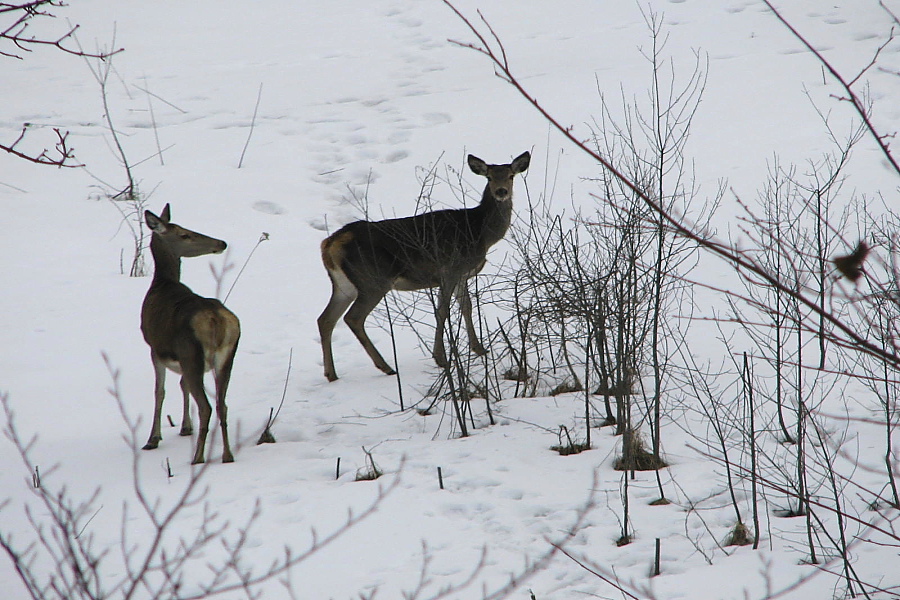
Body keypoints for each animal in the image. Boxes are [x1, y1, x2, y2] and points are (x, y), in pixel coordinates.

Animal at [140, 205, 239, 464]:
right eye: (185, 235)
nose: (221, 243)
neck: (161, 284)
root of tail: (216, 319)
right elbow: (181, 385)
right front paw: (186, 427)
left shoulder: (154, 347)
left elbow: (160, 391)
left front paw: (153, 439)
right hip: (227, 355)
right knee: (222, 403)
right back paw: (227, 455)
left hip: (190, 352)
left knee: (206, 406)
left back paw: (198, 457)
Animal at [318, 152, 532, 382]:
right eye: (489, 177)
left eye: (510, 176)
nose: (501, 192)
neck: (480, 233)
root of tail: (329, 245)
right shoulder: (450, 270)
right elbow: (442, 311)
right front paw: (441, 358)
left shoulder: (462, 275)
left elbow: (467, 307)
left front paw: (479, 349)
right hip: (373, 280)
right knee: (353, 318)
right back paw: (386, 367)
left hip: (344, 285)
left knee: (325, 319)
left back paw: (332, 374)